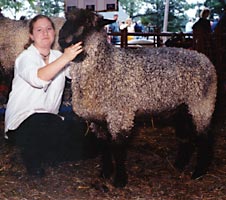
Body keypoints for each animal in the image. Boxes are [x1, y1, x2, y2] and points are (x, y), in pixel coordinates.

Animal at [58, 8, 217, 188]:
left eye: (87, 22)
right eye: (67, 18)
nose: (61, 38)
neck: (106, 64)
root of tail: (205, 59)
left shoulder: (120, 115)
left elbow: (118, 149)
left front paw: (120, 180)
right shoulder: (97, 119)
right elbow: (104, 147)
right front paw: (105, 173)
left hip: (202, 104)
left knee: (204, 138)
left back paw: (199, 172)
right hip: (182, 109)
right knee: (186, 137)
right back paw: (179, 165)